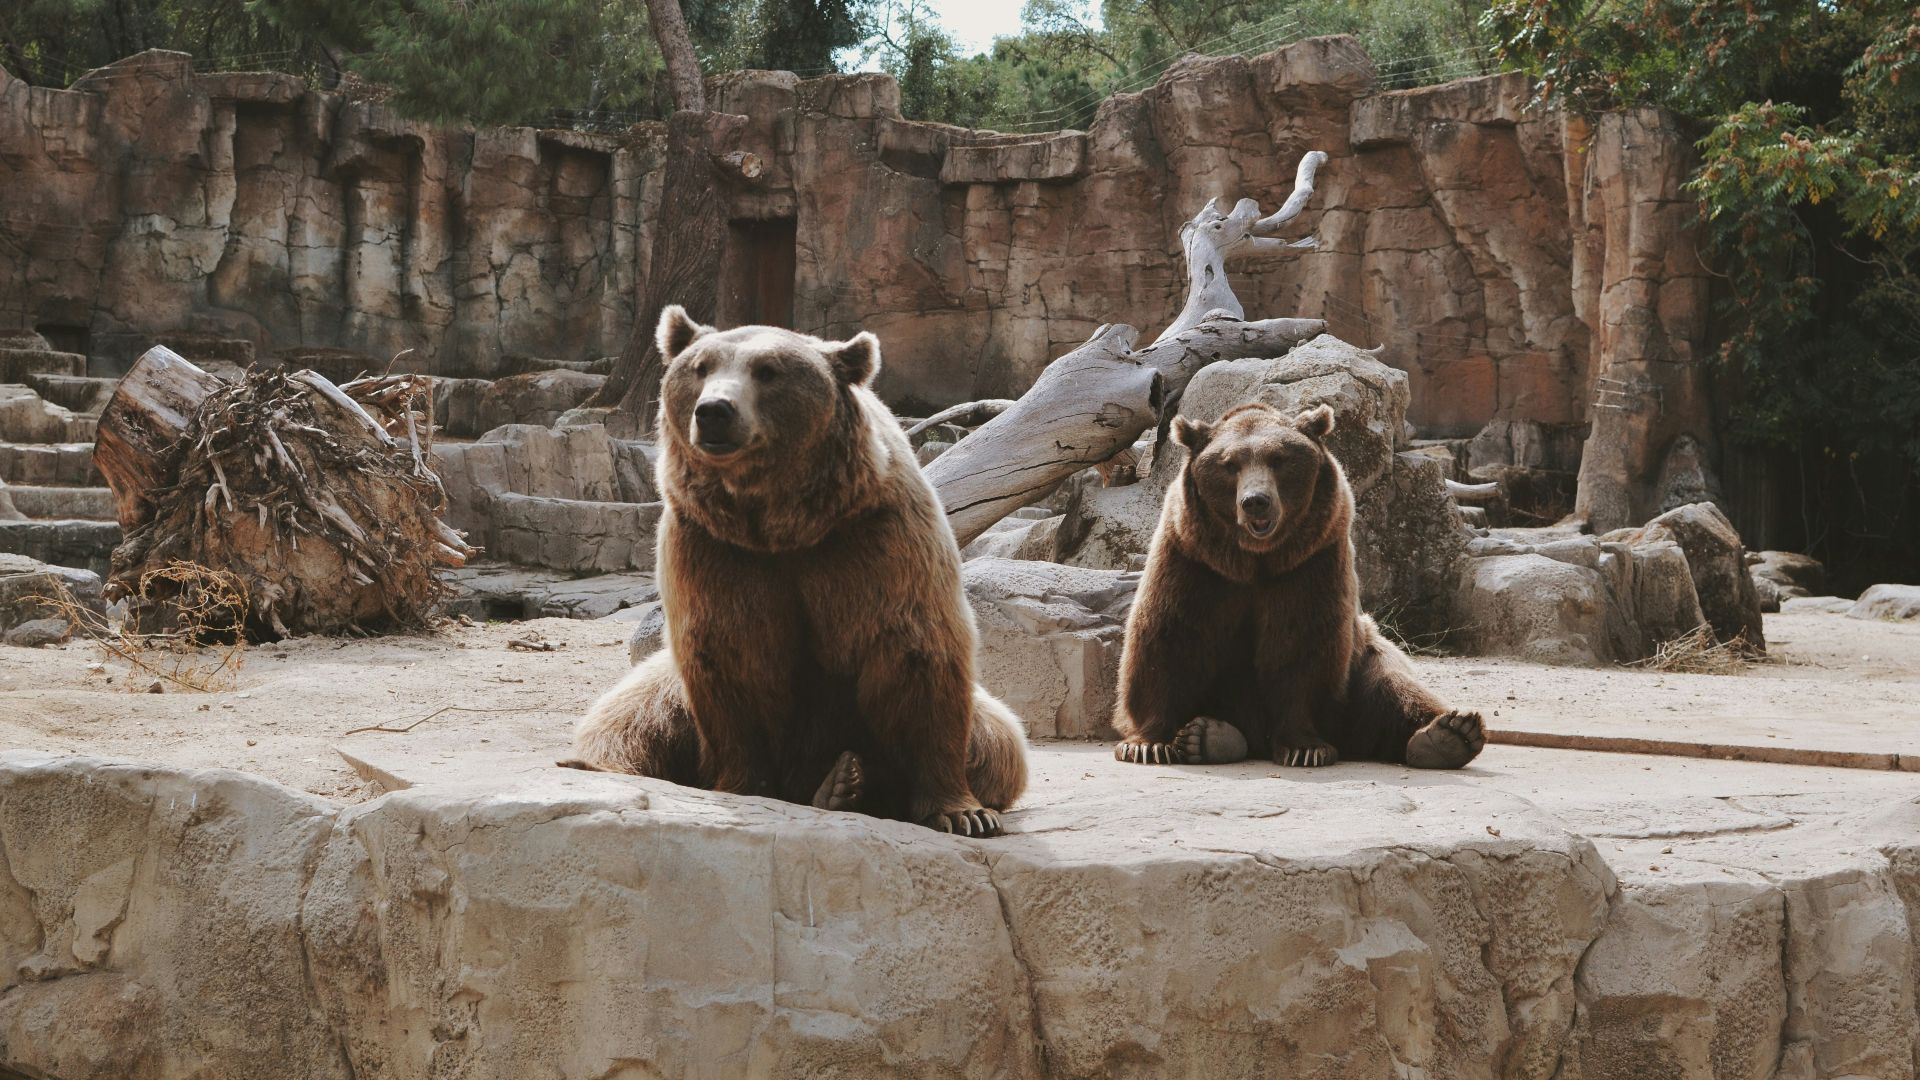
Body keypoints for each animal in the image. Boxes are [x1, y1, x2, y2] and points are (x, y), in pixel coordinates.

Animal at [566, 306, 1030, 836]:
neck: (782, 524)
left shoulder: (877, 536)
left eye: (767, 371)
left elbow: (917, 650)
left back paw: (845, 783)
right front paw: (743, 786)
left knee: (1000, 741)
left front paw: (963, 812)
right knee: (625, 721)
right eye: (701, 367)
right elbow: (731, 654)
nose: (714, 411)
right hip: (663, 695)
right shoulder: (714, 548)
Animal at [1111, 401, 1485, 770]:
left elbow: (1302, 645)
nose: (1255, 501)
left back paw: (1449, 734)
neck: (1254, 560)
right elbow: (1169, 639)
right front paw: (1146, 745)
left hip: (1363, 658)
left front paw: (1305, 748)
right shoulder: (1195, 563)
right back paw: (1207, 736)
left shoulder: (1309, 565)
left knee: (1391, 684)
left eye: (1279, 459)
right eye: (1229, 464)